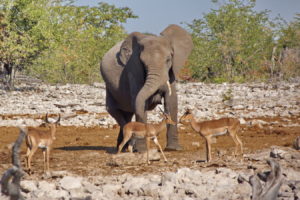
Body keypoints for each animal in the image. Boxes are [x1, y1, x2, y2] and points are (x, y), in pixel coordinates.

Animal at [101, 23, 193, 152]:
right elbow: (138, 99)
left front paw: (174, 149)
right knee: (116, 112)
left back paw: (124, 147)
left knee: (127, 115)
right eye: (143, 63)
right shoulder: (133, 69)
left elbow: (172, 100)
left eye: (168, 60)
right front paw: (141, 150)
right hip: (109, 88)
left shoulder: (172, 71)